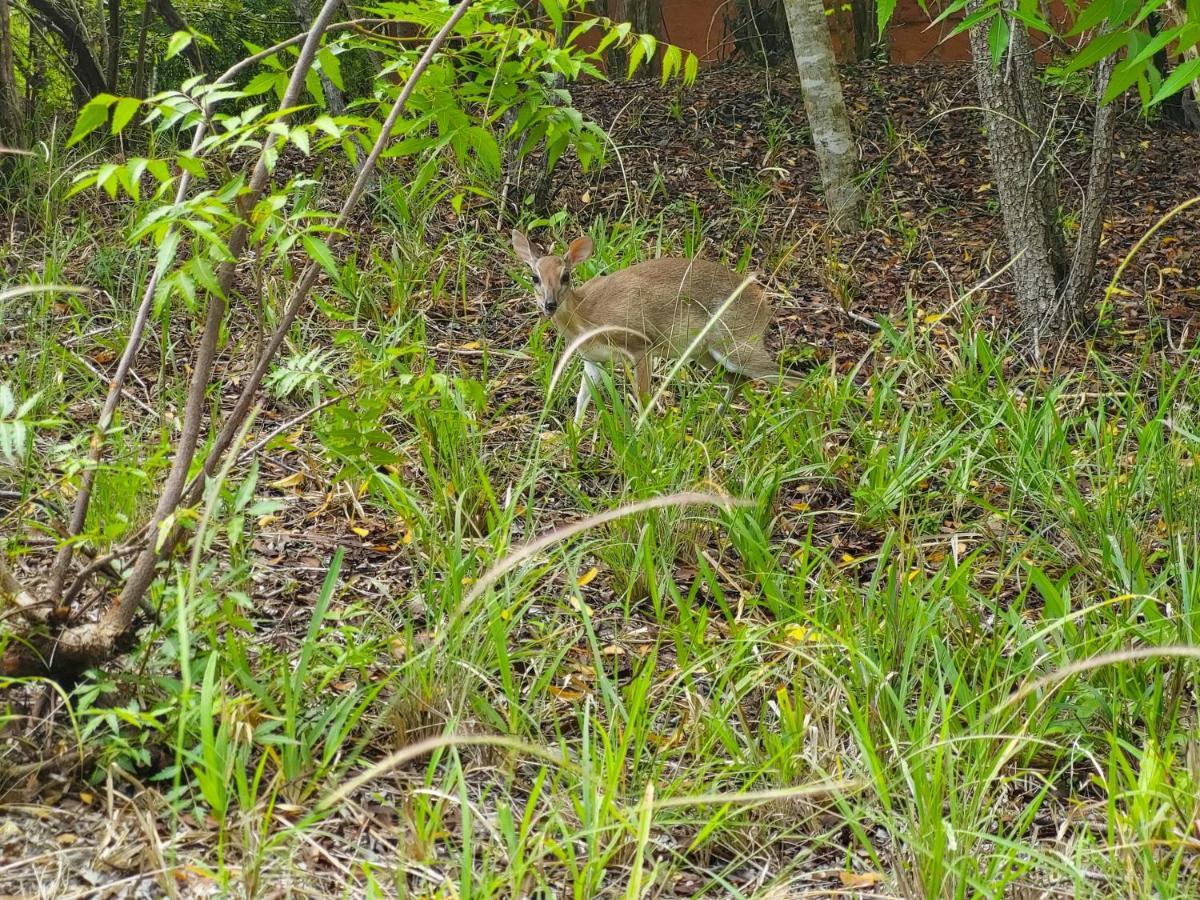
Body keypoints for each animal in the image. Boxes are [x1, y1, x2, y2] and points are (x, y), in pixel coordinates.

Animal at [508, 234, 796, 427]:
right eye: (535, 277)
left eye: (566, 276)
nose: (549, 304)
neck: (586, 316)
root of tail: (764, 305)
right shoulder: (593, 359)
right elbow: (582, 398)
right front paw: (573, 437)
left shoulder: (640, 344)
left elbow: (643, 397)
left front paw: (643, 436)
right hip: (704, 352)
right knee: (738, 380)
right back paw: (711, 424)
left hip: (739, 344)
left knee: (791, 377)